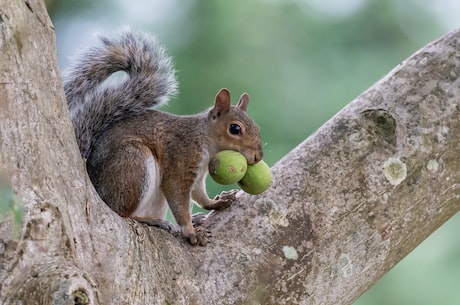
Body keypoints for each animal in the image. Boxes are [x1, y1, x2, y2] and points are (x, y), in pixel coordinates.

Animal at [65, 29, 266, 246]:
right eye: (235, 129)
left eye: (257, 127)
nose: (258, 156)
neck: (203, 140)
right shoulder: (180, 161)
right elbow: (178, 198)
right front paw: (191, 231)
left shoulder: (198, 176)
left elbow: (199, 195)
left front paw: (216, 202)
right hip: (132, 164)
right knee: (124, 213)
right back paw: (156, 221)